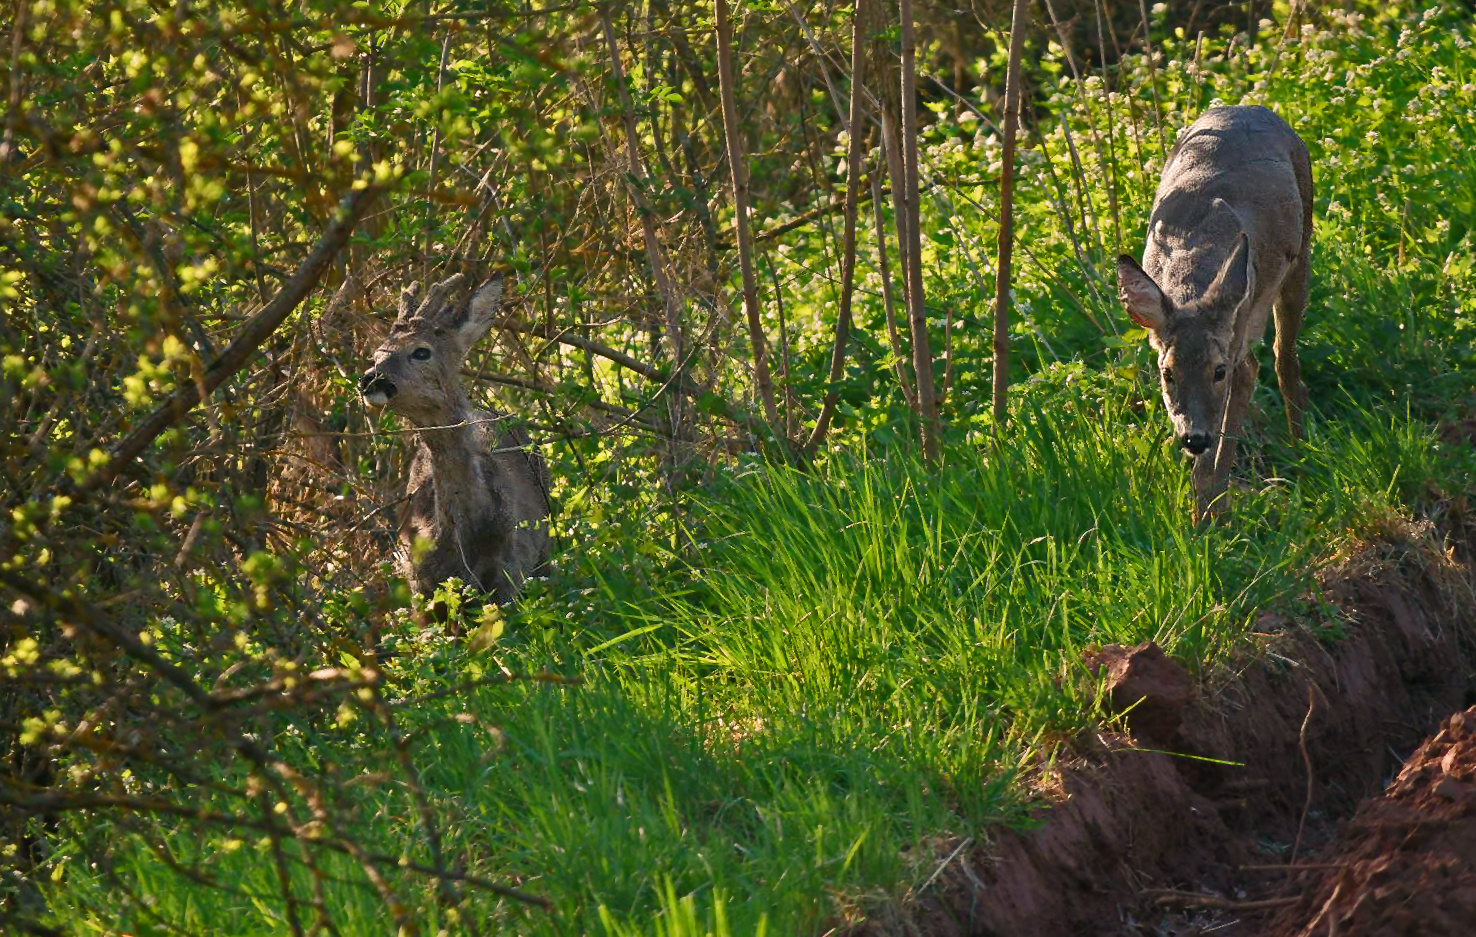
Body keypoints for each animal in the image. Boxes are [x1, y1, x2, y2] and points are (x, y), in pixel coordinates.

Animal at [1109, 108, 1310, 528]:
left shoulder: (1235, 336)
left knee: (1283, 357)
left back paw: (1301, 449)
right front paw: (1203, 514)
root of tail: (1250, 108)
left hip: (1302, 250)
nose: (1194, 438)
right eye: (1166, 373)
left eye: (1217, 371)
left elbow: (1235, 407)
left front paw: (1211, 516)